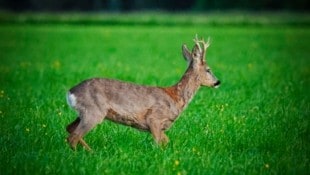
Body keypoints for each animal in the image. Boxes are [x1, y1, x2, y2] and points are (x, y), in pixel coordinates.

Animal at [65, 34, 220, 150]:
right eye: (208, 70)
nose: (217, 82)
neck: (176, 97)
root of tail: (70, 92)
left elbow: (166, 141)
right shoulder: (154, 118)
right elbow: (159, 144)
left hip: (84, 112)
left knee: (69, 129)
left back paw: (91, 152)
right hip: (93, 111)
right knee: (73, 137)